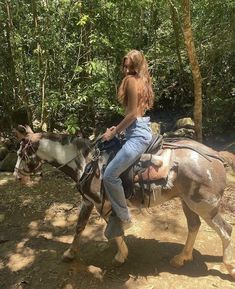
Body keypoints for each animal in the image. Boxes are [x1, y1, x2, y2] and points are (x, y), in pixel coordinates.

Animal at [13, 124, 235, 276]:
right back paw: (181, 258)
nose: (16, 177)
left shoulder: (103, 203)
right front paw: (70, 253)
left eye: (21, 153)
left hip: (204, 206)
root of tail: (215, 155)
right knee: (194, 226)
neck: (86, 163)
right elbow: (79, 227)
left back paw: (228, 266)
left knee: (225, 230)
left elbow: (115, 229)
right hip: (187, 202)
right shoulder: (88, 201)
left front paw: (121, 256)